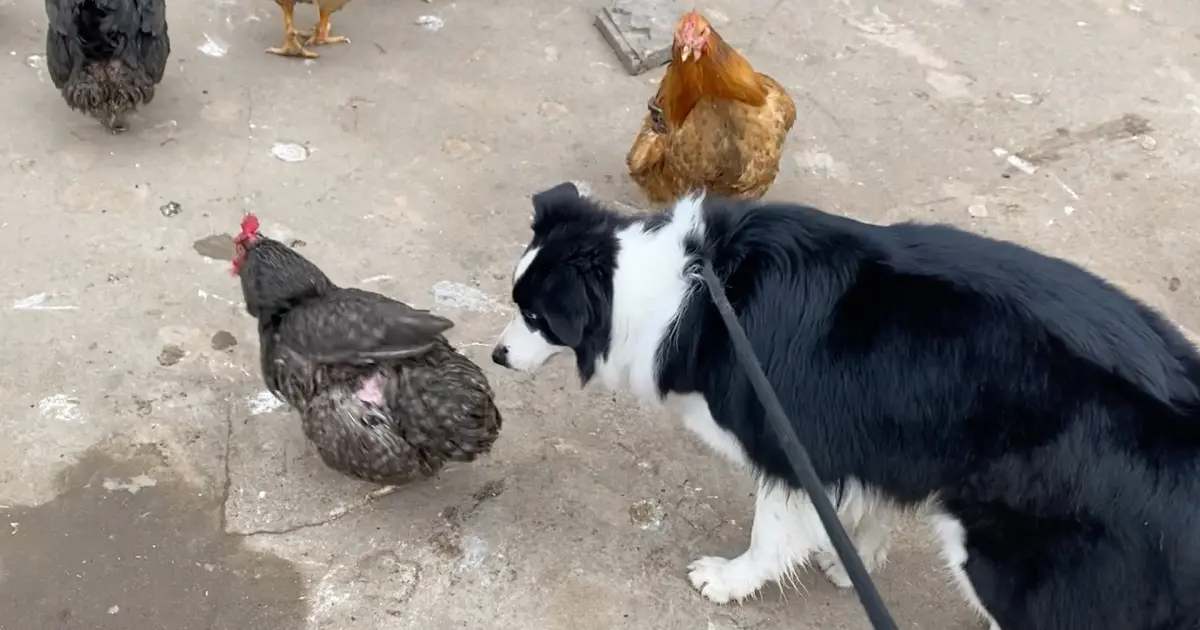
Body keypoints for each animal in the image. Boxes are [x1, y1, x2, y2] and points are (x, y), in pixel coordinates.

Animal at [489, 181, 1200, 628]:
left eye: (535, 317)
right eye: (516, 303)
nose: (494, 356)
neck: (684, 286)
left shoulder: (792, 440)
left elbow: (772, 532)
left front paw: (730, 580)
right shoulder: (879, 432)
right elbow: (870, 502)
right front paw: (848, 557)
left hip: (1007, 559)